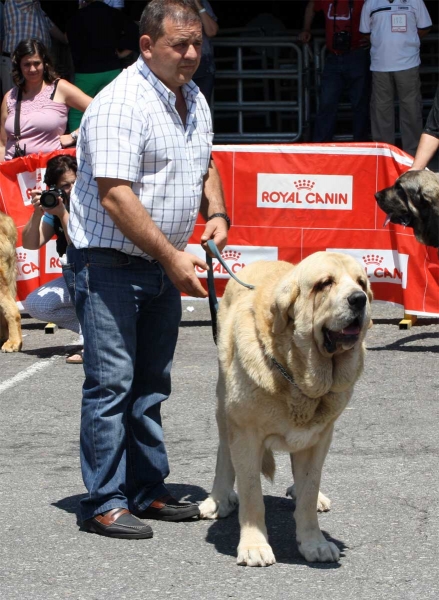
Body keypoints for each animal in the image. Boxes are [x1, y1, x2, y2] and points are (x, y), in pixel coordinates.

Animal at [201, 252, 372, 568]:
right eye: (325, 283)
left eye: (362, 282)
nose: (359, 299)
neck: (297, 377)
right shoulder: (245, 435)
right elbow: (252, 496)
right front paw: (254, 546)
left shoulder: (319, 440)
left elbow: (308, 491)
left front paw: (314, 543)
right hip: (223, 408)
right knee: (223, 453)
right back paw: (218, 499)